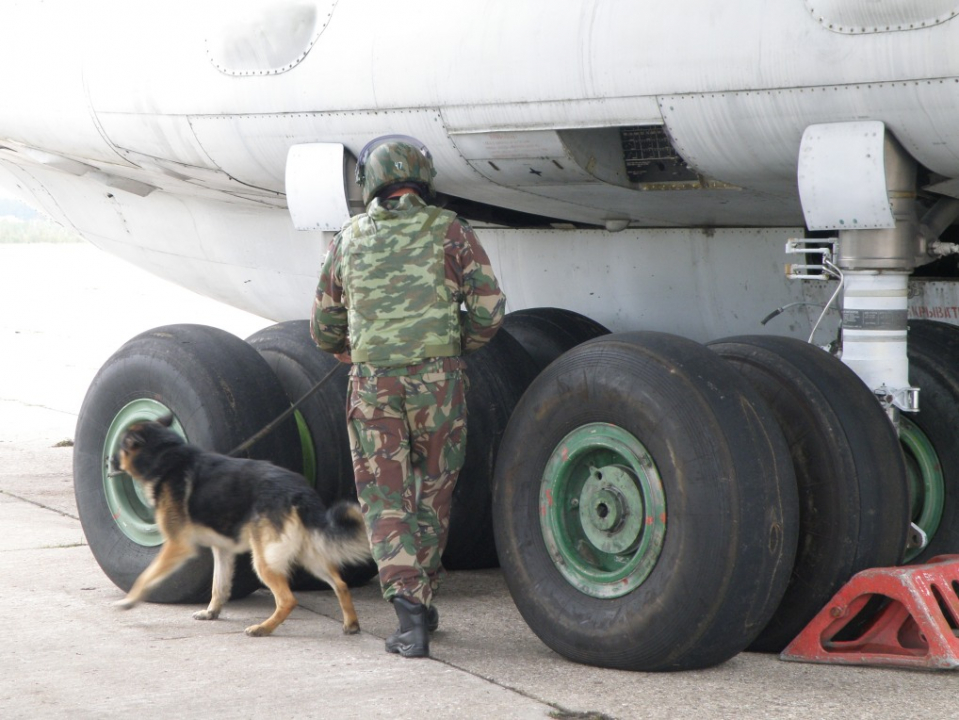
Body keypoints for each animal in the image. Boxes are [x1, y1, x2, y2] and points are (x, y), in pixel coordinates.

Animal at [109, 414, 372, 640]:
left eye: (121, 447)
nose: (107, 461)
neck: (165, 455)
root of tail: (300, 492)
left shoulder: (177, 546)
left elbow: (145, 576)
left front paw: (129, 601)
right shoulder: (222, 550)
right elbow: (219, 586)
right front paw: (211, 612)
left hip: (265, 560)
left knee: (288, 600)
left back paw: (263, 628)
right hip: (308, 555)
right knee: (341, 584)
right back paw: (351, 624)